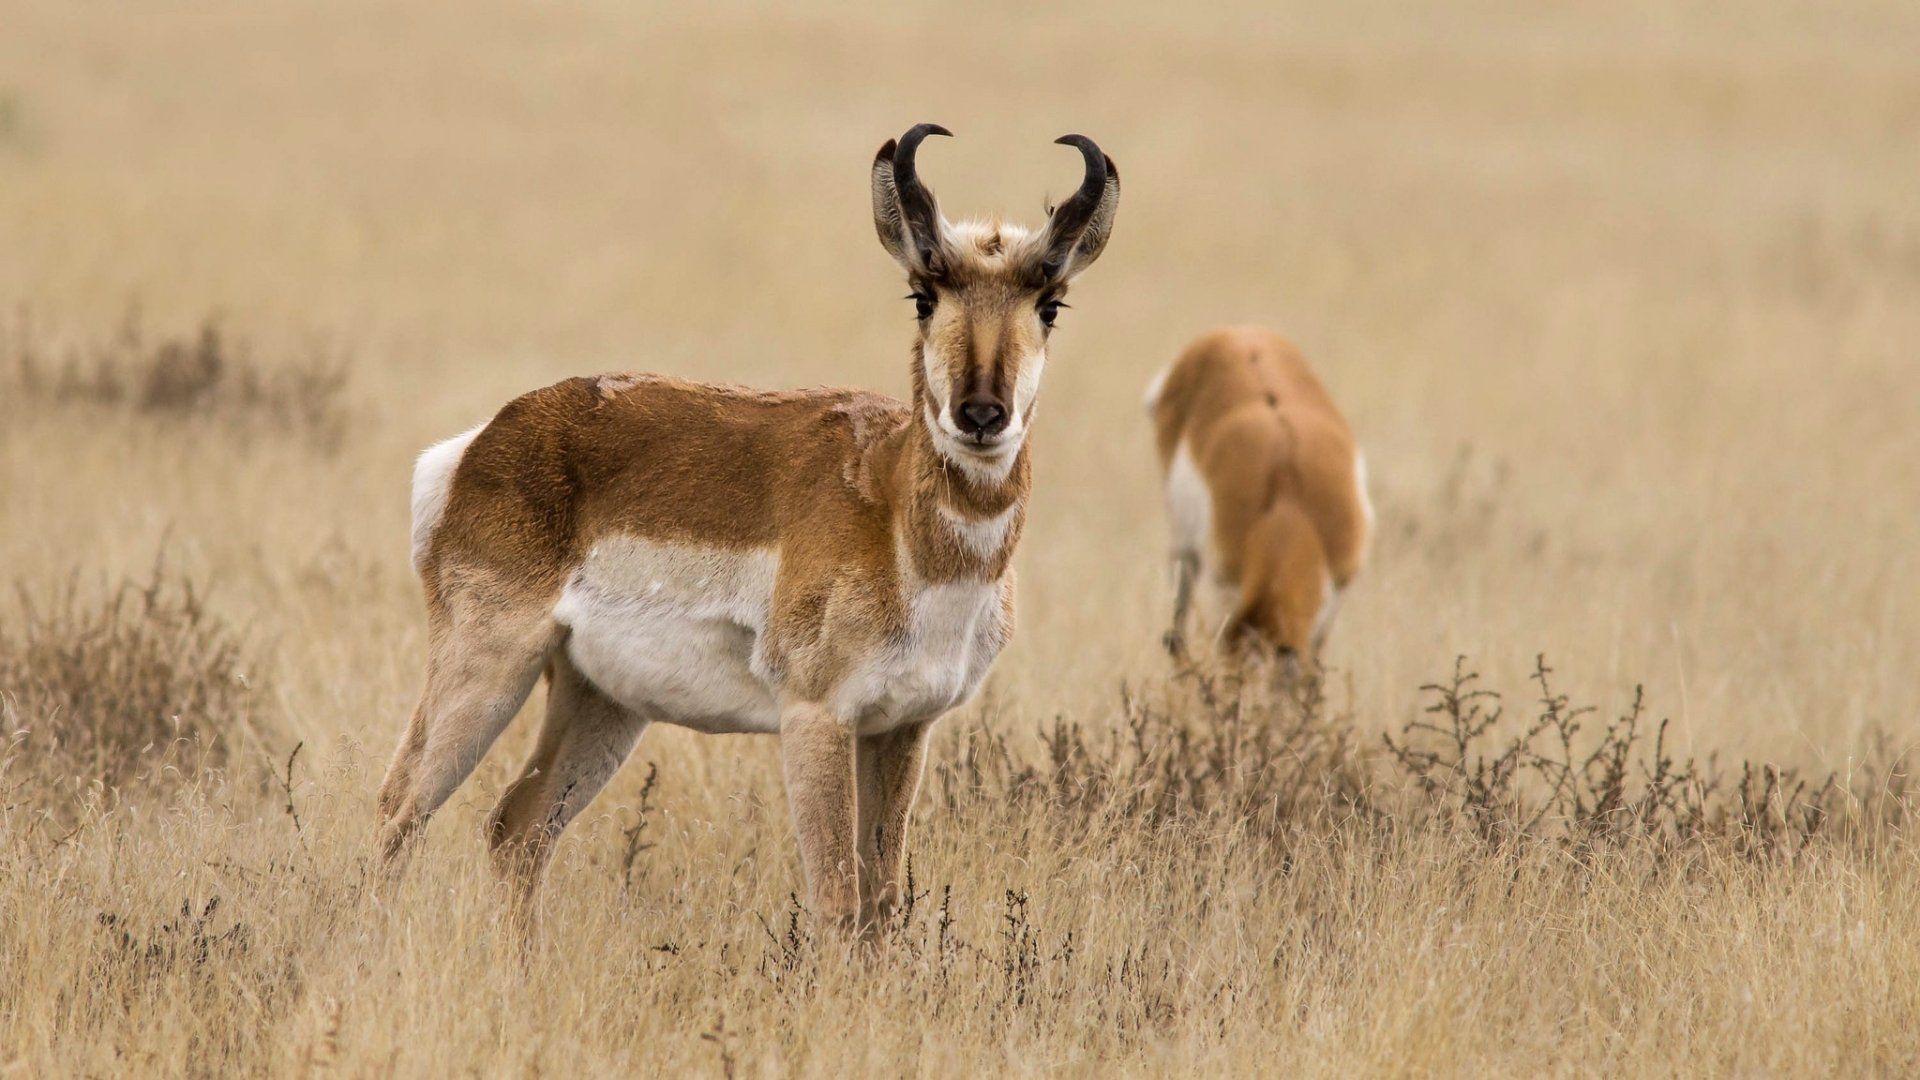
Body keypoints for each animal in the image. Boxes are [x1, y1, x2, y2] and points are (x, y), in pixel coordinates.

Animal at [375, 124, 1119, 931]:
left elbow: (882, 902)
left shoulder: (901, 729)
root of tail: (490, 436)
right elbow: (836, 901)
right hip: (489, 665)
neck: (892, 508)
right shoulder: (816, 720)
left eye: (1051, 304)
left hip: (600, 700)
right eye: (923, 296)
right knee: (400, 808)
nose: (981, 414)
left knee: (518, 827)